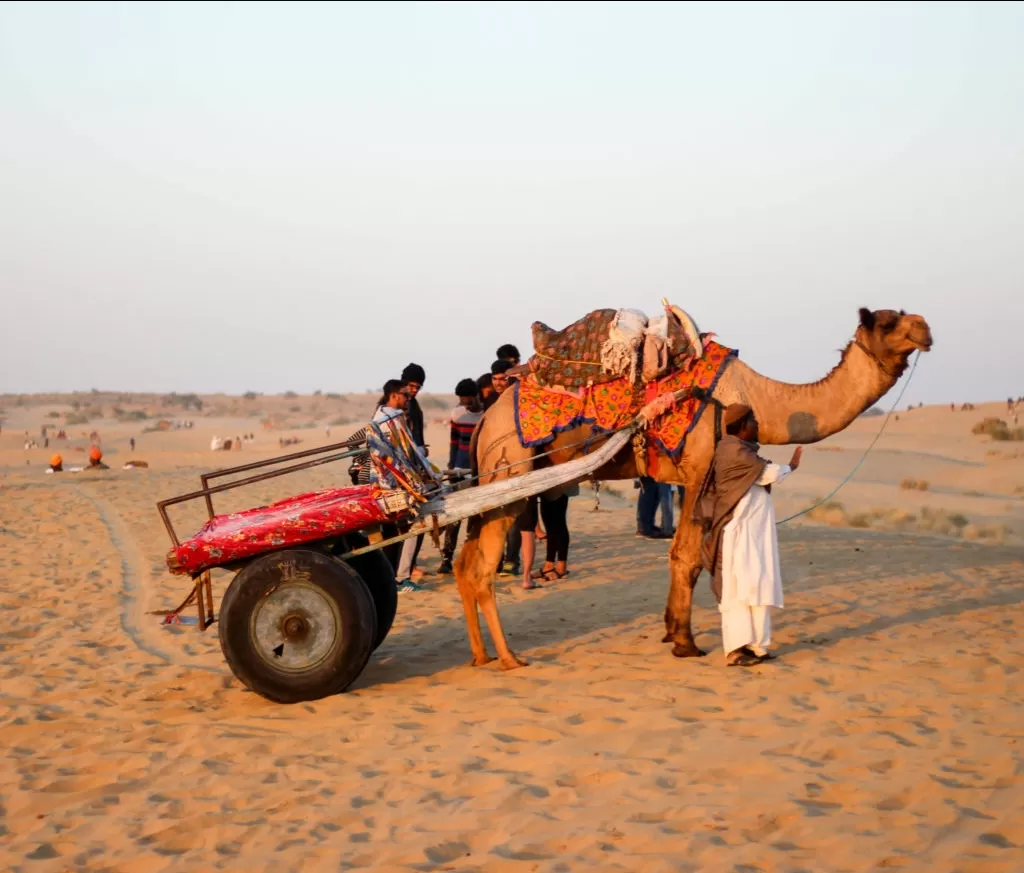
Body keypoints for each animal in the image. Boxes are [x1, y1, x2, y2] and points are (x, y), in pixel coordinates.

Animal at [456, 307, 937, 667]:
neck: (756, 397)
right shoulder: (700, 464)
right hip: (510, 473)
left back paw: (481, 655)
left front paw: (671, 632)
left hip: (492, 482)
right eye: (887, 321)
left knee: (464, 563)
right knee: (482, 568)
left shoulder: (690, 478)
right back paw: (509, 658)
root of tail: (484, 421)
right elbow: (687, 558)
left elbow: (678, 555)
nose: (925, 328)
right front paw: (687, 644)